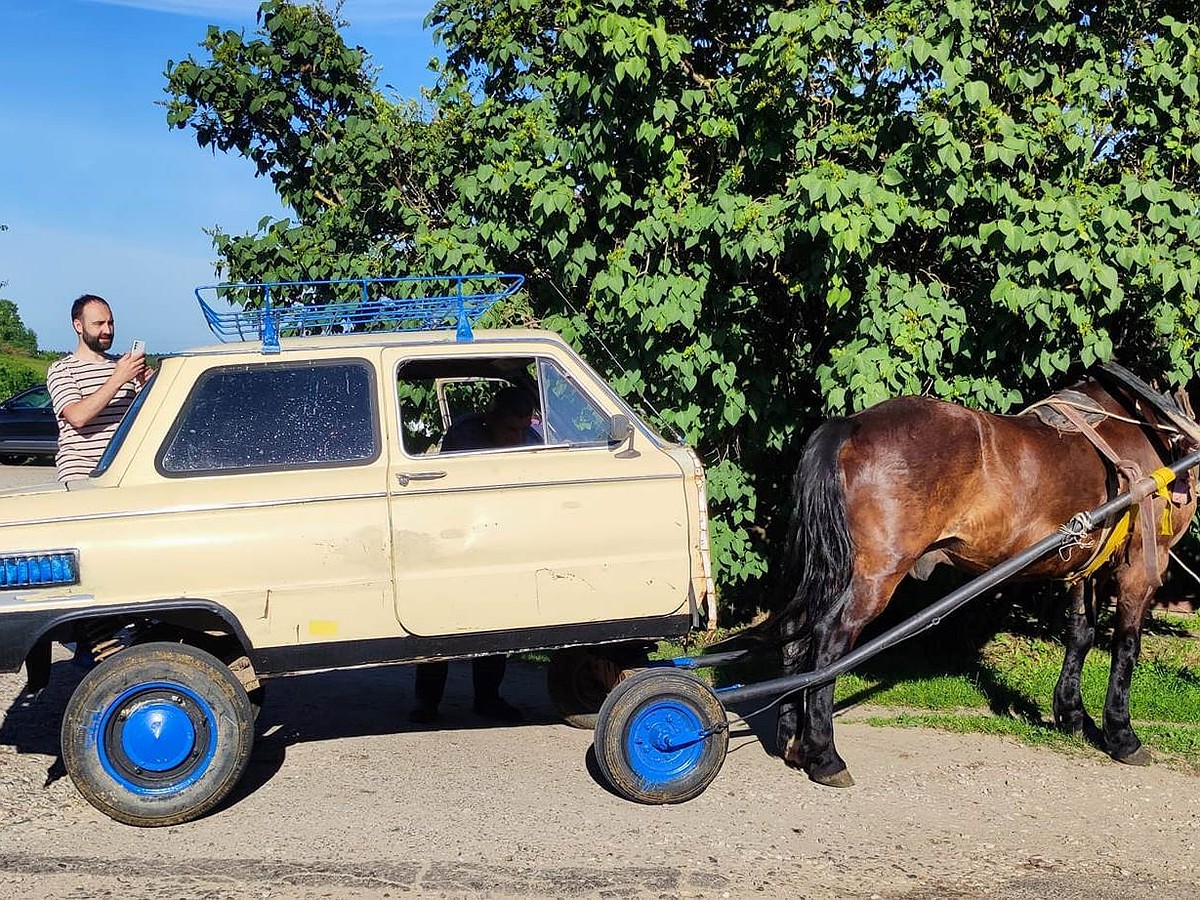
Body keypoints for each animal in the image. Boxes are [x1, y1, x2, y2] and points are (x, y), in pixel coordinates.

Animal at [772, 374, 1195, 787]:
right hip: (876, 574)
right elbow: (1126, 648)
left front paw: (1074, 716)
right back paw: (825, 755)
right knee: (829, 642)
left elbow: (1081, 634)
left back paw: (792, 742)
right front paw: (1122, 736)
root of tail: (851, 425)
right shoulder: (1141, 565)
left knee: (794, 632)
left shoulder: (1088, 566)